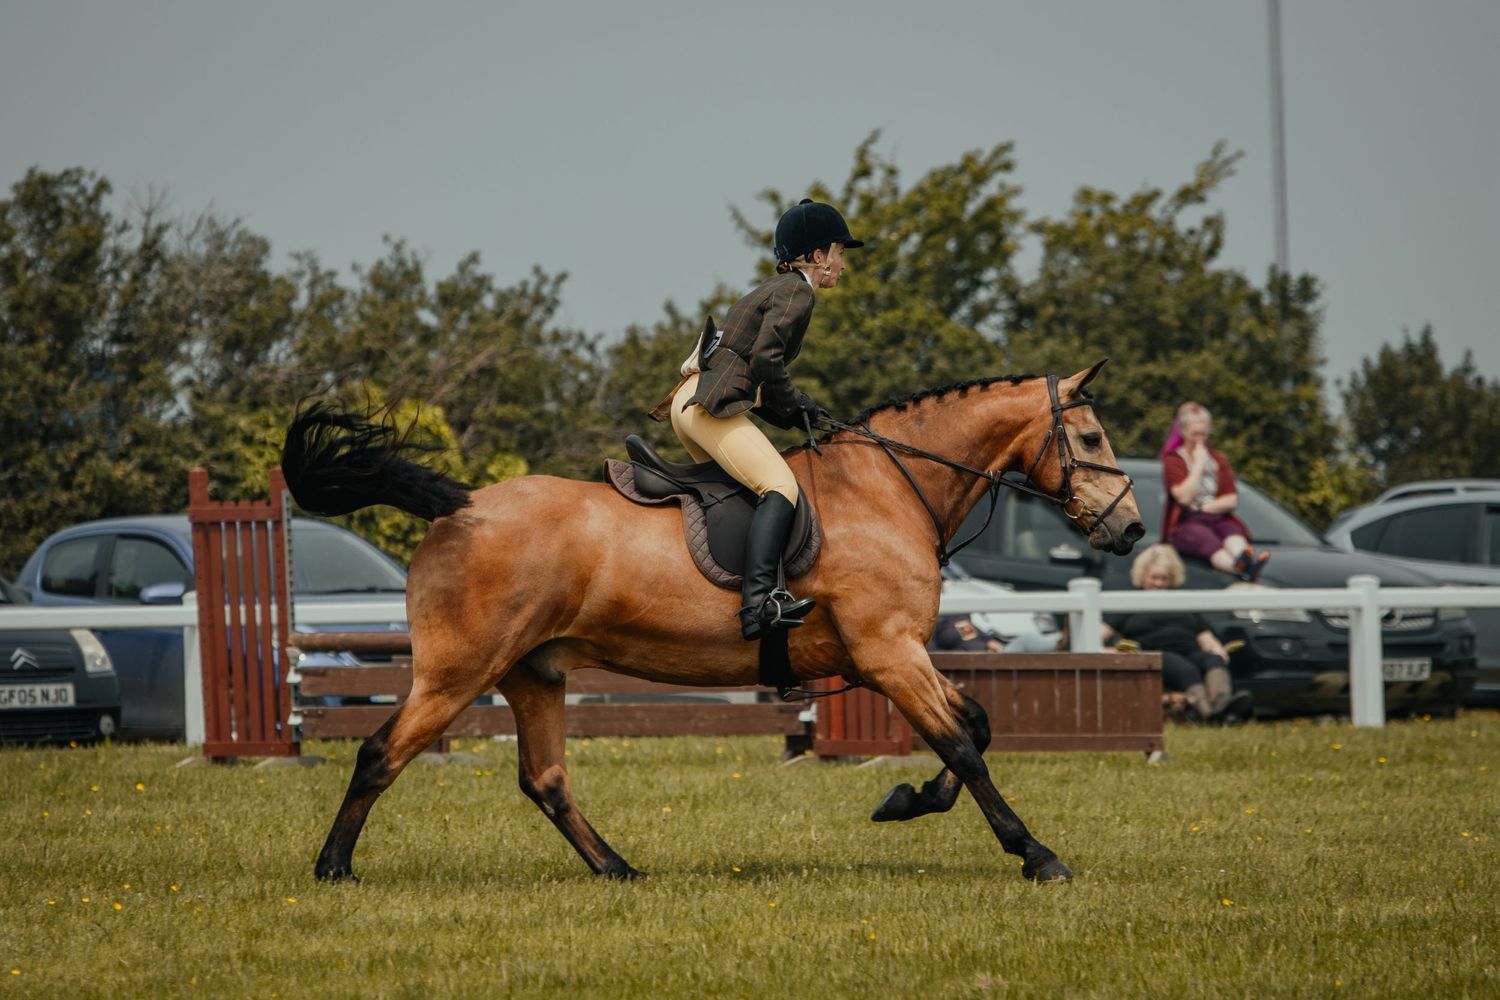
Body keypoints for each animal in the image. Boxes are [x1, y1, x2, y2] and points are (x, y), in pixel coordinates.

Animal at [282, 360, 1145, 884]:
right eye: (1092, 437)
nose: (1131, 531)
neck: (889, 487)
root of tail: (458, 508)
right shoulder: (888, 653)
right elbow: (963, 744)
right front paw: (1035, 853)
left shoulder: (895, 653)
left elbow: (977, 725)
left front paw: (903, 801)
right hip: (460, 671)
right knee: (380, 753)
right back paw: (333, 868)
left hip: (536, 671)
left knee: (546, 779)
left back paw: (619, 870)